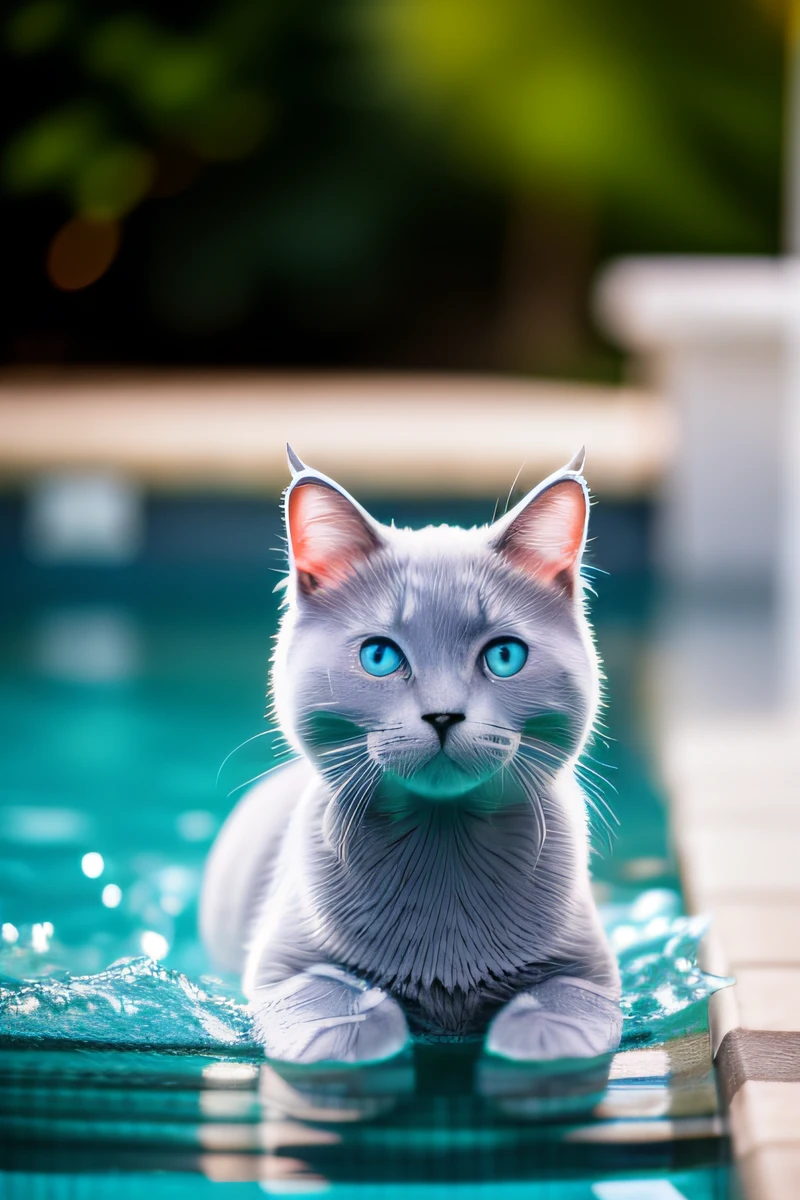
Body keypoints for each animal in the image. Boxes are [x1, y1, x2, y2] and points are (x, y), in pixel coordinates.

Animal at [196, 446, 623, 1065]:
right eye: (379, 656)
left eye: (505, 655)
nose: (443, 715)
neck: (442, 840)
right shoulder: (282, 970)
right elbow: (336, 1005)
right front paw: (359, 1040)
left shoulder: (590, 972)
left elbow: (557, 1006)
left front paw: (532, 1045)